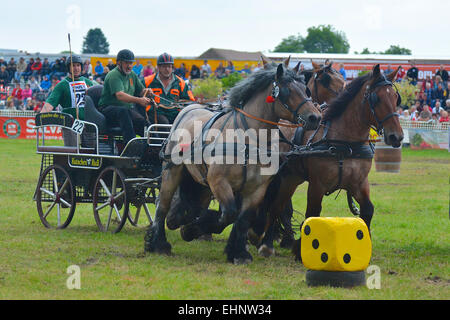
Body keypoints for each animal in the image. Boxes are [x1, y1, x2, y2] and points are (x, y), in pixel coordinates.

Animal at [142, 58, 322, 264]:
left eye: (305, 90)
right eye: (287, 91)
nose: (315, 117)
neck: (249, 139)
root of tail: (188, 108)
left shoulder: (257, 188)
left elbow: (242, 219)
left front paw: (239, 252)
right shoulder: (218, 181)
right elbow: (228, 214)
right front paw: (192, 230)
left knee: (190, 206)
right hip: (172, 171)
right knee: (162, 204)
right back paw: (159, 243)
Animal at [251, 63, 402, 258]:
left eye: (396, 98)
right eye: (376, 98)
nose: (396, 136)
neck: (345, 142)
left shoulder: (359, 182)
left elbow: (368, 210)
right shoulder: (318, 184)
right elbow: (312, 213)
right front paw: (302, 248)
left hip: (291, 177)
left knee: (278, 206)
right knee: (275, 206)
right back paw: (266, 243)